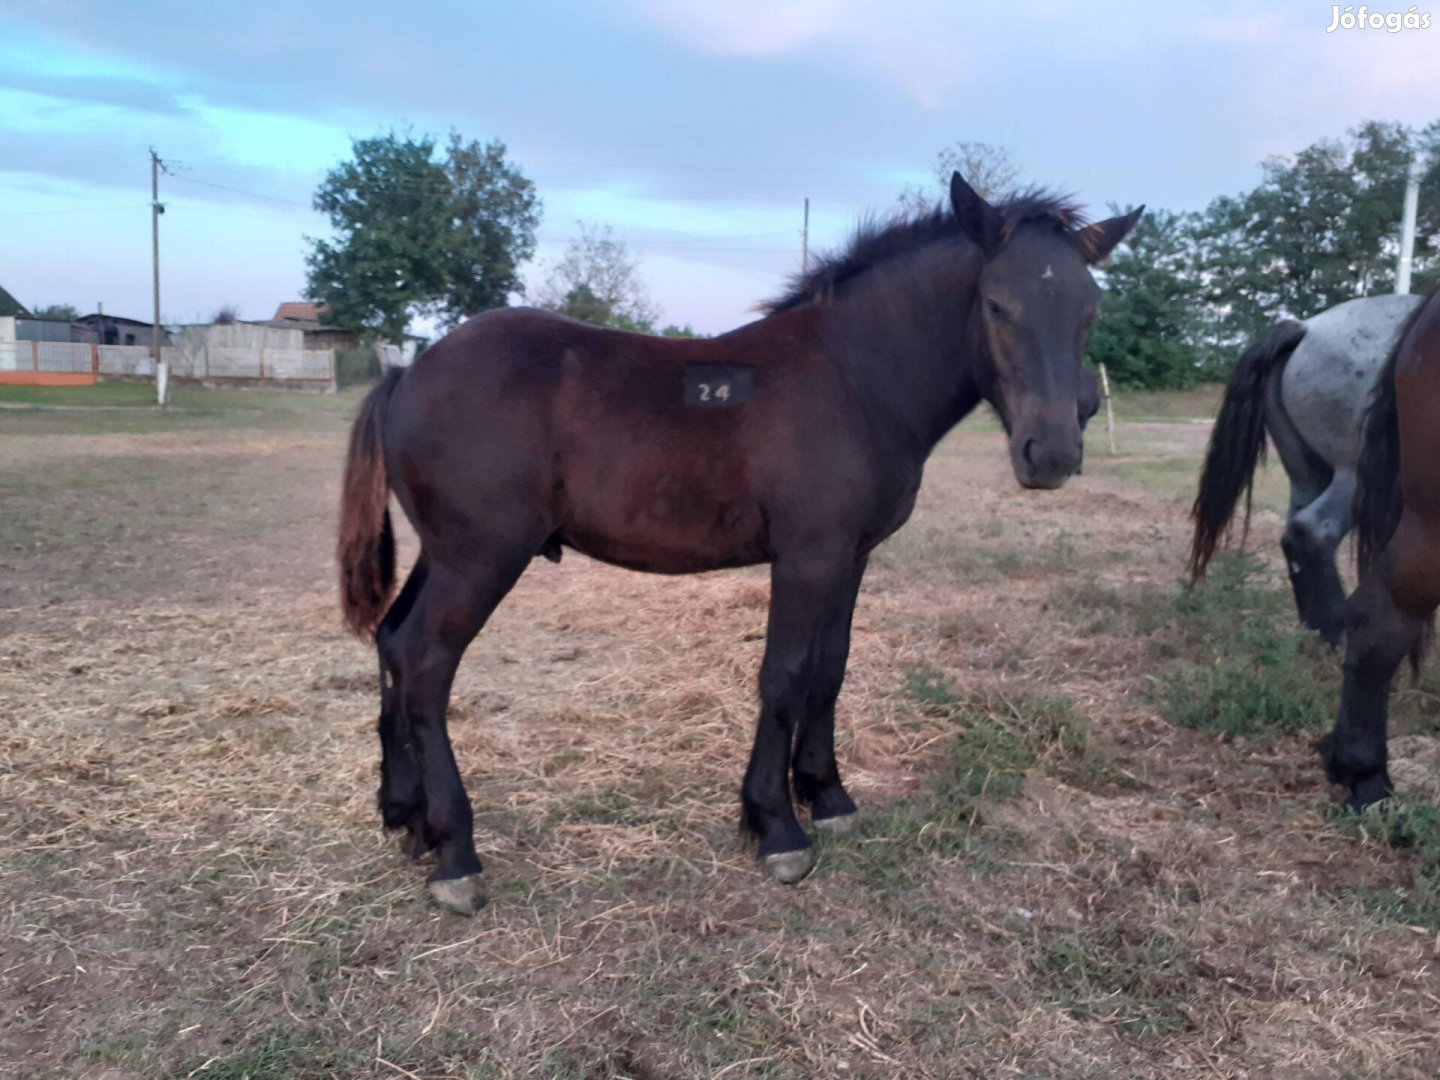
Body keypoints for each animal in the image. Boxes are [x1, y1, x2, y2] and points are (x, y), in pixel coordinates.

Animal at [336, 175, 1134, 915]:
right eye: (997, 303)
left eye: (1090, 309)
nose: (1052, 454)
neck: (855, 376)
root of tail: (407, 373)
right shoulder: (807, 556)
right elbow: (783, 677)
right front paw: (777, 826)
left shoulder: (851, 556)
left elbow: (830, 669)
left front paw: (828, 796)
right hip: (481, 560)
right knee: (426, 663)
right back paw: (456, 852)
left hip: (443, 554)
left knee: (392, 642)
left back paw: (407, 820)